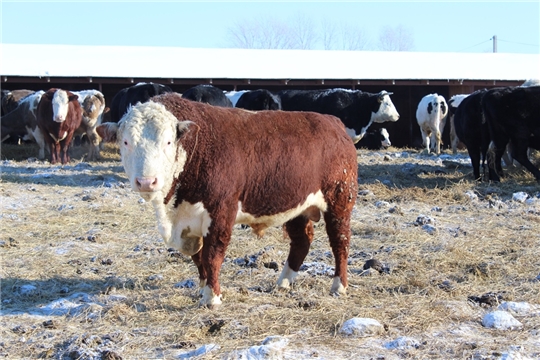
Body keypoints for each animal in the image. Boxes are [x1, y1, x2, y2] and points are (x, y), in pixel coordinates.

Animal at [97, 93, 358, 310]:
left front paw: (212, 297)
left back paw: (339, 286)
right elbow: (198, 258)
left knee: (340, 242)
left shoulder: (221, 211)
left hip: (340, 200)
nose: (146, 181)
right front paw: (203, 289)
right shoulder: (190, 222)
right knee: (301, 242)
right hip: (297, 206)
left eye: (168, 142)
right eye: (126, 142)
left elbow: (212, 255)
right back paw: (283, 283)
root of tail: (333, 122)